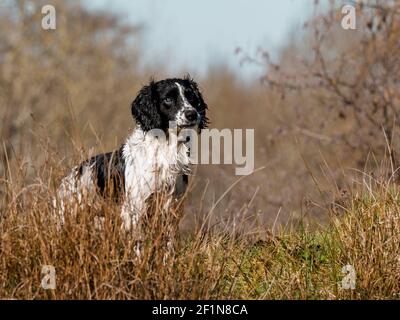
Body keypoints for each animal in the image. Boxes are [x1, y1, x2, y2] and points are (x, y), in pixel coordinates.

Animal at [55, 77, 209, 234]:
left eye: (191, 96)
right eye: (168, 99)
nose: (192, 114)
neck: (166, 149)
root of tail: (73, 173)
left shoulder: (172, 206)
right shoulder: (135, 208)